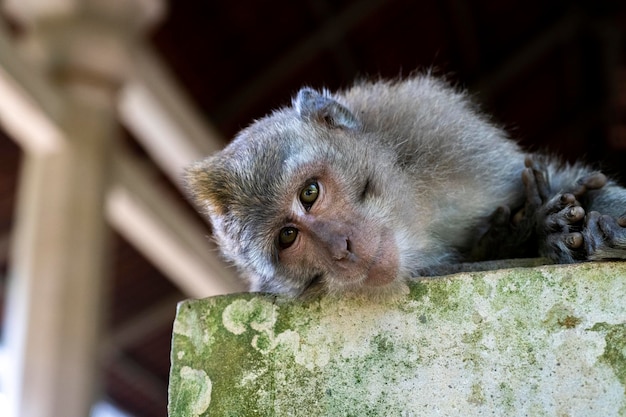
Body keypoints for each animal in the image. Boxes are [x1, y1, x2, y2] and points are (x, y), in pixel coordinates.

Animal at [183, 75, 624, 296]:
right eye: (287, 237)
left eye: (309, 193)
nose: (341, 248)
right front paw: (527, 233)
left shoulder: (442, 136)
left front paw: (598, 225)